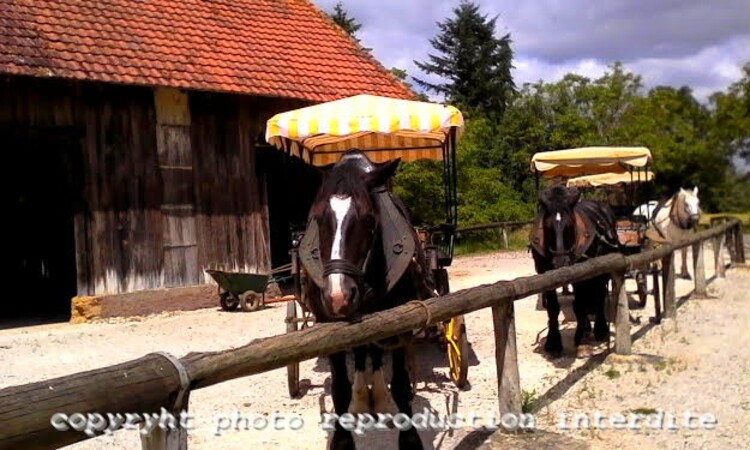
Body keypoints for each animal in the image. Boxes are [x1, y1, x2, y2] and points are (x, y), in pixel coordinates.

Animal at [302, 150, 432, 450]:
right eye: (317, 217)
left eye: (369, 218)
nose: (338, 295)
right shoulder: (328, 325)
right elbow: (340, 388)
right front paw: (342, 439)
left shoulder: (402, 319)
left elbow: (401, 384)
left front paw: (409, 438)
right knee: (363, 352)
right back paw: (362, 399)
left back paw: (379, 400)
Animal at [532, 185, 620, 356]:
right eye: (547, 227)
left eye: (569, 226)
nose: (561, 262)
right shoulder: (544, 274)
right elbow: (554, 307)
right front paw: (553, 342)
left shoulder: (582, 273)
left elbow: (582, 302)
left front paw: (583, 333)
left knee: (599, 296)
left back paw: (599, 329)